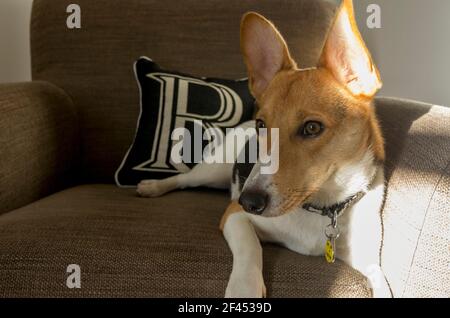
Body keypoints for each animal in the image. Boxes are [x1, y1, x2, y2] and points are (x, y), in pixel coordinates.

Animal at [136, 0, 390, 298]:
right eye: (262, 124)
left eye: (312, 128)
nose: (249, 201)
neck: (322, 206)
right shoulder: (234, 216)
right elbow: (250, 247)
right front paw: (244, 288)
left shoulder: (369, 261)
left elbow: (382, 281)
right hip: (214, 169)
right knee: (184, 179)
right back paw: (152, 186)